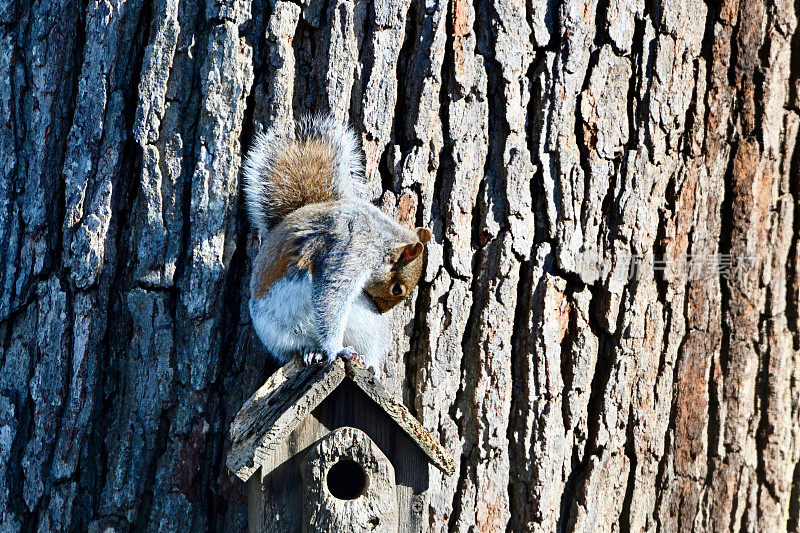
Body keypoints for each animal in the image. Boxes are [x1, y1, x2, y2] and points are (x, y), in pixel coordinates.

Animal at [242, 114, 432, 368]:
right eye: (397, 289)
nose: (381, 311)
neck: (380, 237)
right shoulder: (350, 249)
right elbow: (330, 295)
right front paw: (336, 349)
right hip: (276, 332)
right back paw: (313, 351)